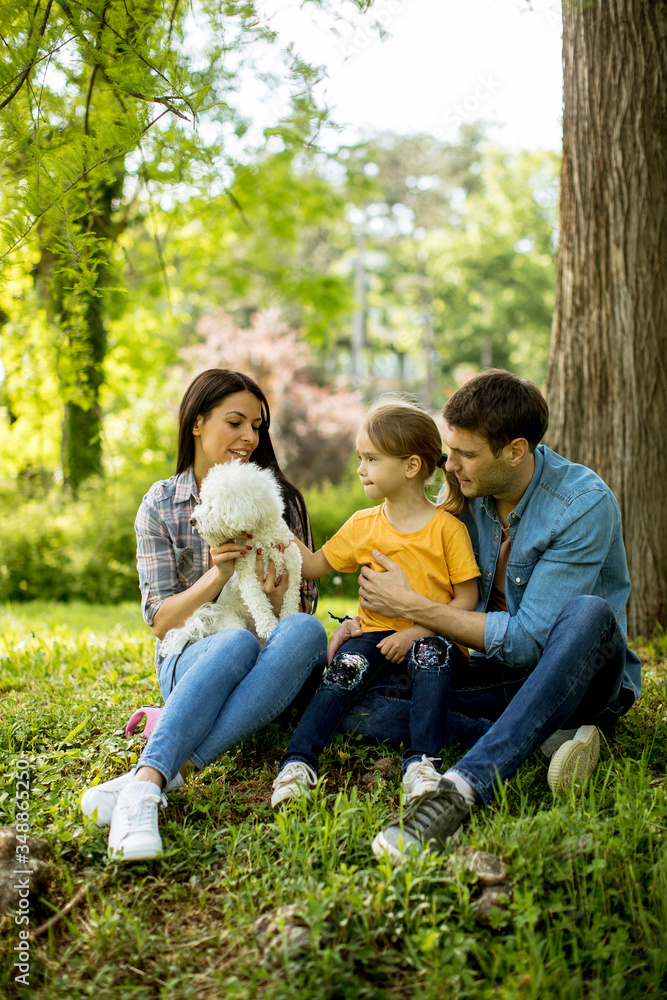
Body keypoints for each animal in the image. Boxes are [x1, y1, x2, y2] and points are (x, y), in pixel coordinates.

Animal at [162, 458, 306, 656]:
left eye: (212, 507)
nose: (192, 520)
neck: (264, 541)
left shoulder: (293, 570)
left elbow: (291, 597)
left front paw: (289, 616)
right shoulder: (248, 576)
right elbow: (258, 602)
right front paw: (268, 626)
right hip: (232, 622)